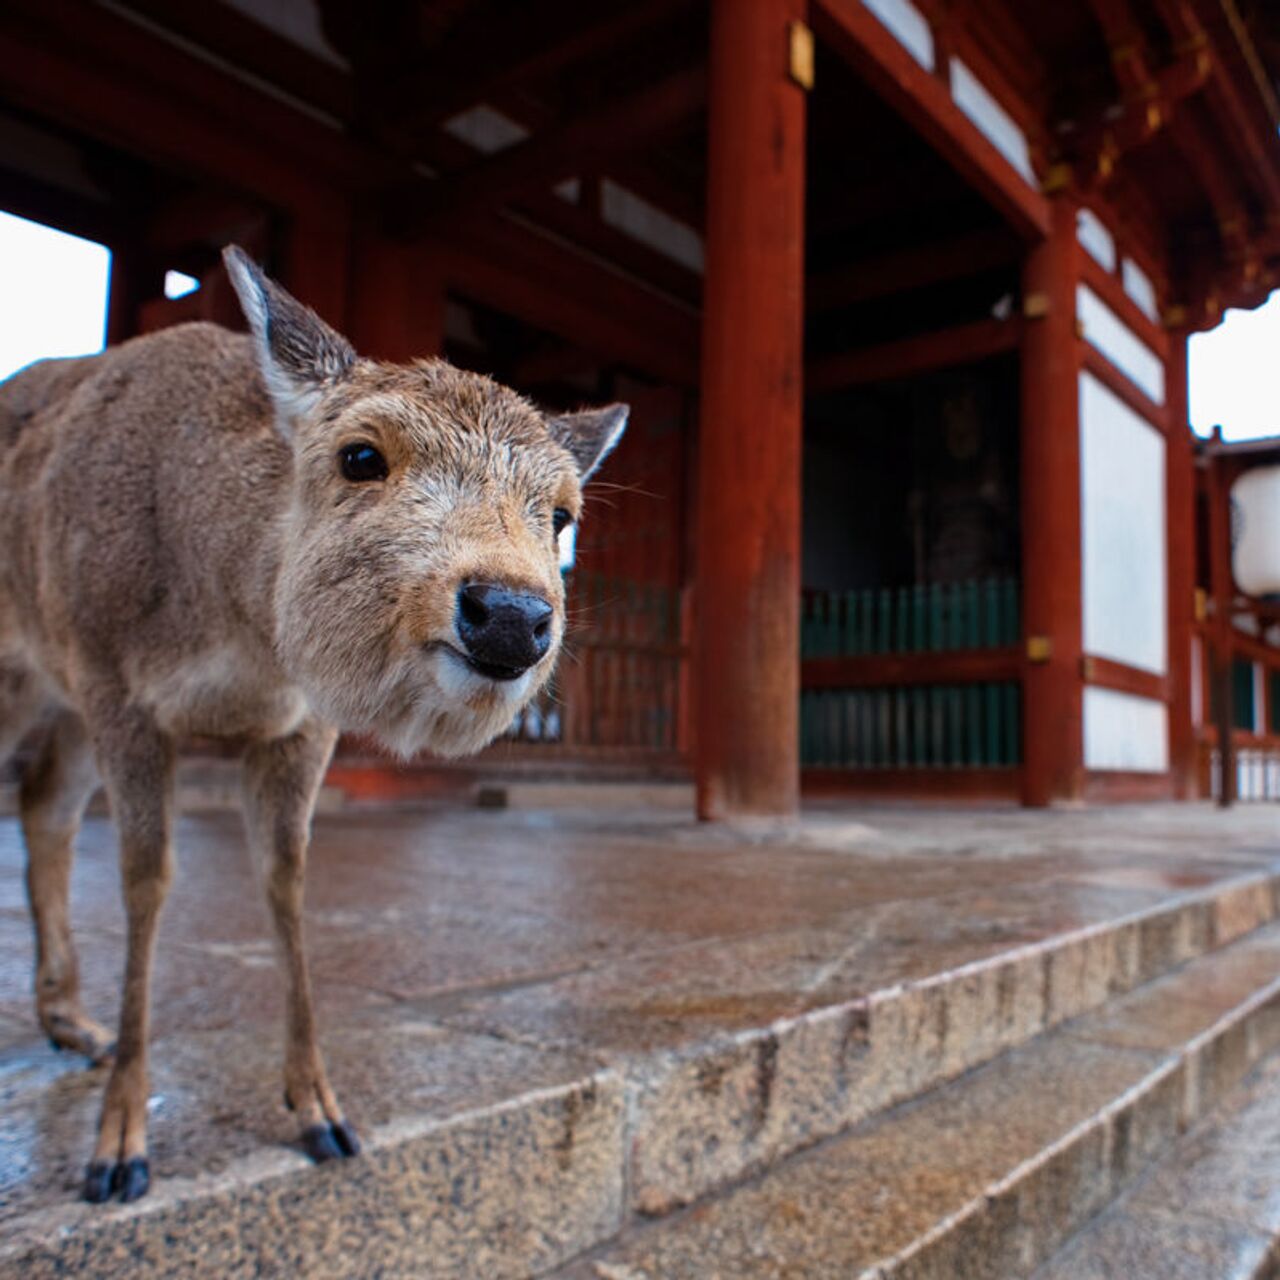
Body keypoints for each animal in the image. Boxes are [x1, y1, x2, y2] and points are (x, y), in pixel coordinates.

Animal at [0, 247, 624, 1198]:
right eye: (360, 455)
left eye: (561, 516)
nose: (512, 615)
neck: (231, 636)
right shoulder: (116, 680)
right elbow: (149, 878)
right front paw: (118, 1149)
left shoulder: (299, 721)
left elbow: (286, 876)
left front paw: (322, 1110)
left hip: (57, 692)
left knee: (44, 803)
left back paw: (71, 1021)